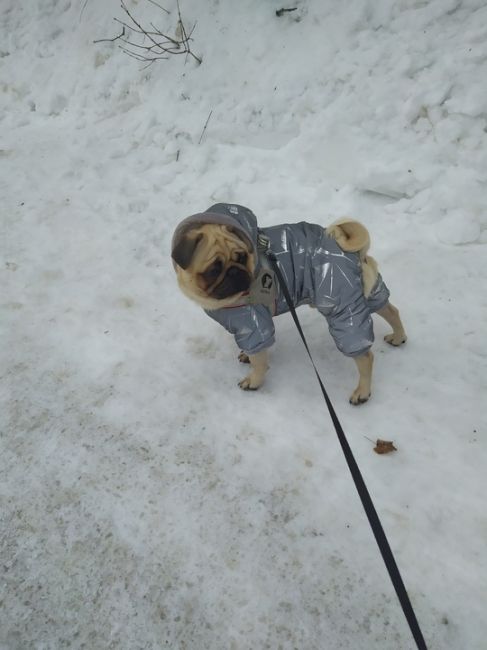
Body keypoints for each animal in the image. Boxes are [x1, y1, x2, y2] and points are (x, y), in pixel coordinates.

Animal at [172, 205, 408, 402]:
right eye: (213, 270)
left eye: (241, 257)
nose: (235, 273)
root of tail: (347, 250)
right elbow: (255, 351)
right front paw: (246, 355)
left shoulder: (253, 322)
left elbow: (259, 359)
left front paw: (254, 380)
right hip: (365, 295)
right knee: (391, 310)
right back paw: (398, 337)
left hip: (341, 305)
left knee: (365, 355)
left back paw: (362, 391)